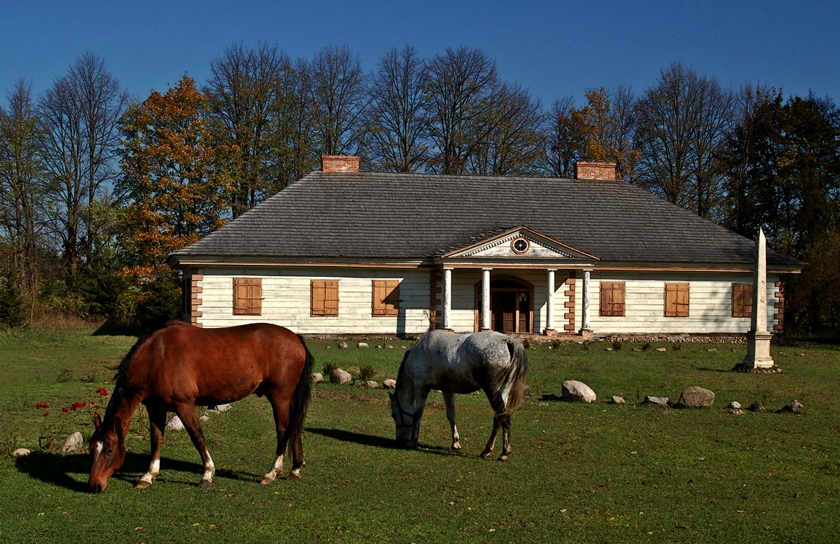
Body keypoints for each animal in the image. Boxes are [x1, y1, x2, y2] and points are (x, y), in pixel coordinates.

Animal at [88, 320, 316, 496]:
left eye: (109, 450)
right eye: (91, 448)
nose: (94, 486)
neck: (156, 357)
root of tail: (296, 339)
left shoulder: (184, 405)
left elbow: (197, 437)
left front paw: (207, 474)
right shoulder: (156, 408)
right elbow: (156, 440)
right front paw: (148, 476)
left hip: (280, 397)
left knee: (283, 430)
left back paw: (272, 473)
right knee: (294, 428)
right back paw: (295, 469)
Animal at [390, 330, 528, 462]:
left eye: (394, 415)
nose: (399, 439)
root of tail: (507, 340)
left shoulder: (421, 388)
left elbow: (417, 415)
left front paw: (412, 441)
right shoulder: (447, 390)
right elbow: (451, 415)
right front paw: (455, 442)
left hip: (492, 391)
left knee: (503, 418)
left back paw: (503, 452)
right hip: (503, 391)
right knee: (500, 418)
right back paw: (489, 450)